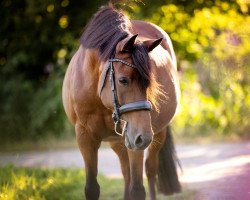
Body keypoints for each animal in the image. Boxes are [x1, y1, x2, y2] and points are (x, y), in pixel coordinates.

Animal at [62, 4, 180, 200]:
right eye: (123, 80)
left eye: (149, 83)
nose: (144, 137)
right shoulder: (85, 138)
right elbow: (92, 188)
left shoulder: (135, 139)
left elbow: (138, 189)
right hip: (118, 141)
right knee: (126, 172)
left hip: (156, 135)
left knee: (150, 171)